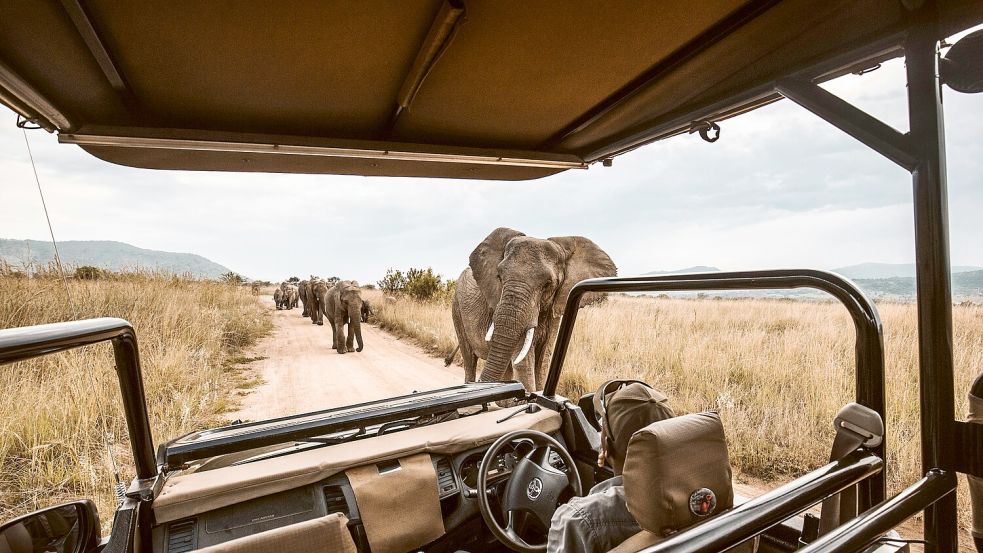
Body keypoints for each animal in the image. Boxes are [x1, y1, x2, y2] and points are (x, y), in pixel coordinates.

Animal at [452, 227, 616, 392]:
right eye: (499, 277)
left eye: (548, 284)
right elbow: (524, 363)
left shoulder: (555, 309)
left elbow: (544, 360)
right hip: (457, 308)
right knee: (470, 359)